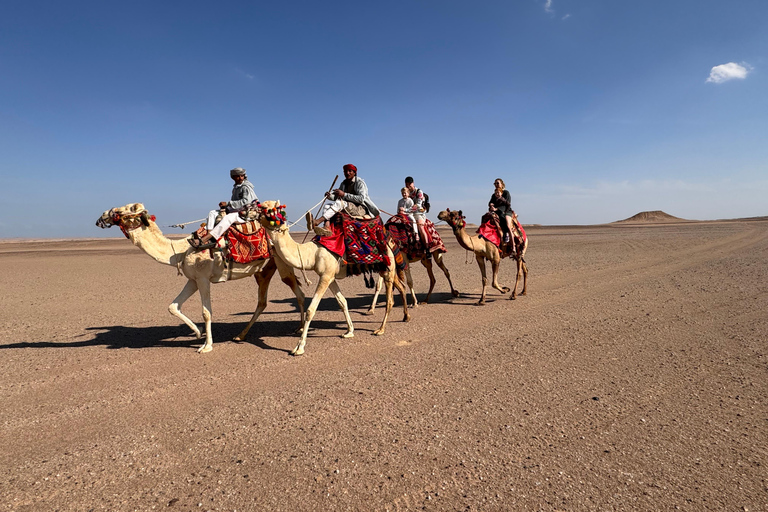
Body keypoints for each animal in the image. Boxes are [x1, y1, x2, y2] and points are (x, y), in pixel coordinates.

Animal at [95, 203, 305, 353]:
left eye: (122, 210)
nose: (102, 216)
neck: (180, 250)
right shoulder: (193, 279)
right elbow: (173, 306)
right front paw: (197, 333)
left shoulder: (203, 278)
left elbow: (206, 312)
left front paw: (206, 346)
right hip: (264, 269)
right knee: (263, 301)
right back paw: (241, 335)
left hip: (281, 262)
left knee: (299, 294)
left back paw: (300, 330)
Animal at [257, 201, 410, 356]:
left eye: (268, 209)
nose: (254, 212)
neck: (312, 254)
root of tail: (390, 241)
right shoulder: (329, 277)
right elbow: (342, 302)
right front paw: (349, 331)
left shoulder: (325, 276)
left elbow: (311, 310)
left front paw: (299, 347)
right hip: (386, 269)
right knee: (401, 287)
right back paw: (406, 317)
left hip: (388, 267)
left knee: (390, 301)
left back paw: (380, 329)